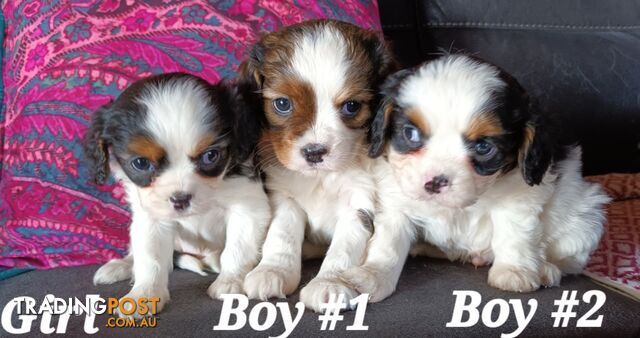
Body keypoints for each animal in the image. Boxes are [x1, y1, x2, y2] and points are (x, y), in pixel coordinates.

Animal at [83, 72, 270, 316]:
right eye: (141, 163)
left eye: (210, 156)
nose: (180, 199)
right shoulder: (151, 217)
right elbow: (150, 257)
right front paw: (144, 294)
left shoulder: (248, 208)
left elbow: (237, 249)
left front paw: (230, 282)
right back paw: (122, 265)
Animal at [241, 20, 398, 312]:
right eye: (282, 103)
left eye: (351, 106)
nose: (314, 152)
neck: (320, 177)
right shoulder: (285, 197)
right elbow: (281, 234)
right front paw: (273, 270)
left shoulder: (359, 202)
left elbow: (344, 248)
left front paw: (330, 284)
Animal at [344, 54, 608, 302]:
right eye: (411, 134)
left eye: (483, 147)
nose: (435, 182)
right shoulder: (397, 203)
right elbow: (388, 243)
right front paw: (373, 276)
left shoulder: (520, 198)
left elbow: (514, 234)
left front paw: (514, 271)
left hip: (585, 216)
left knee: (569, 260)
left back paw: (545, 269)